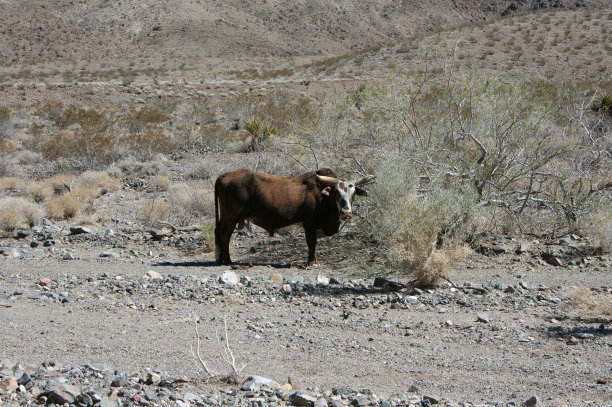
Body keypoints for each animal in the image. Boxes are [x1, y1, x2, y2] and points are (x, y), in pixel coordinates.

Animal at [215, 168, 372, 266]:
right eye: (337, 193)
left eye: (353, 194)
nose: (346, 212)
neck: (322, 197)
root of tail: (224, 175)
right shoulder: (309, 224)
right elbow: (311, 242)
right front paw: (312, 261)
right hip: (230, 217)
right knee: (224, 235)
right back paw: (227, 260)